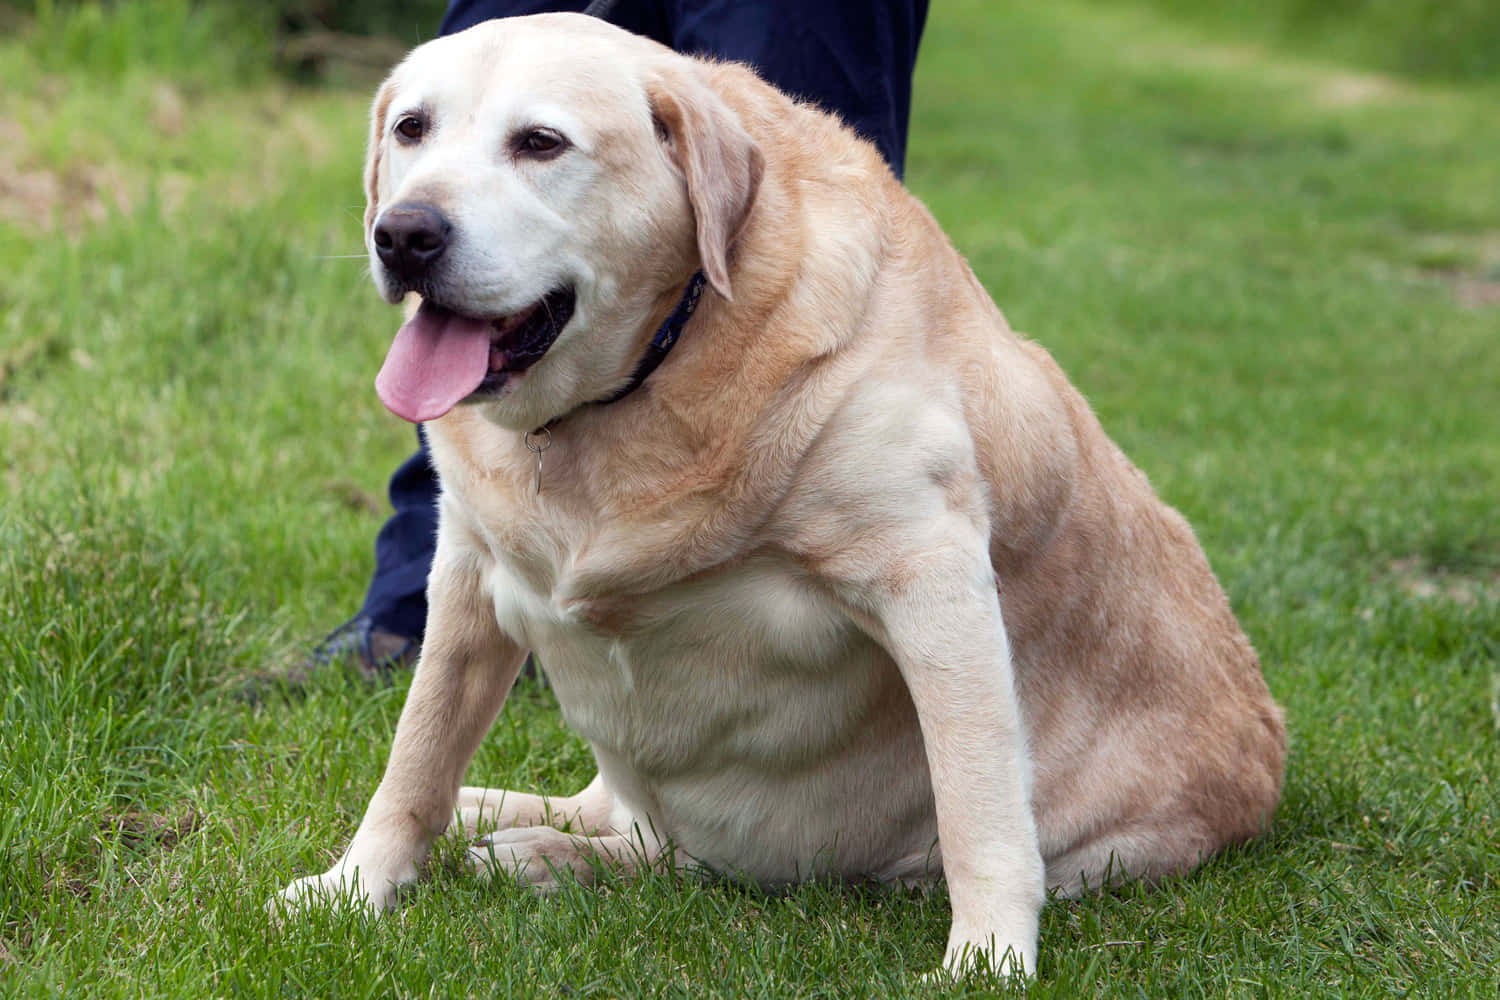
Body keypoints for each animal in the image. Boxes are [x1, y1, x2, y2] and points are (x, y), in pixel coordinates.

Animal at [279, 11, 1290, 983]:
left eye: (541, 143)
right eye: (412, 129)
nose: (405, 233)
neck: (644, 378)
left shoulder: (931, 576)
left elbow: (979, 810)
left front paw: (990, 959)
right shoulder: (467, 570)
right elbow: (416, 758)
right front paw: (353, 886)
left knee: (695, 856)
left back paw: (545, 851)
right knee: (628, 824)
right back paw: (517, 825)